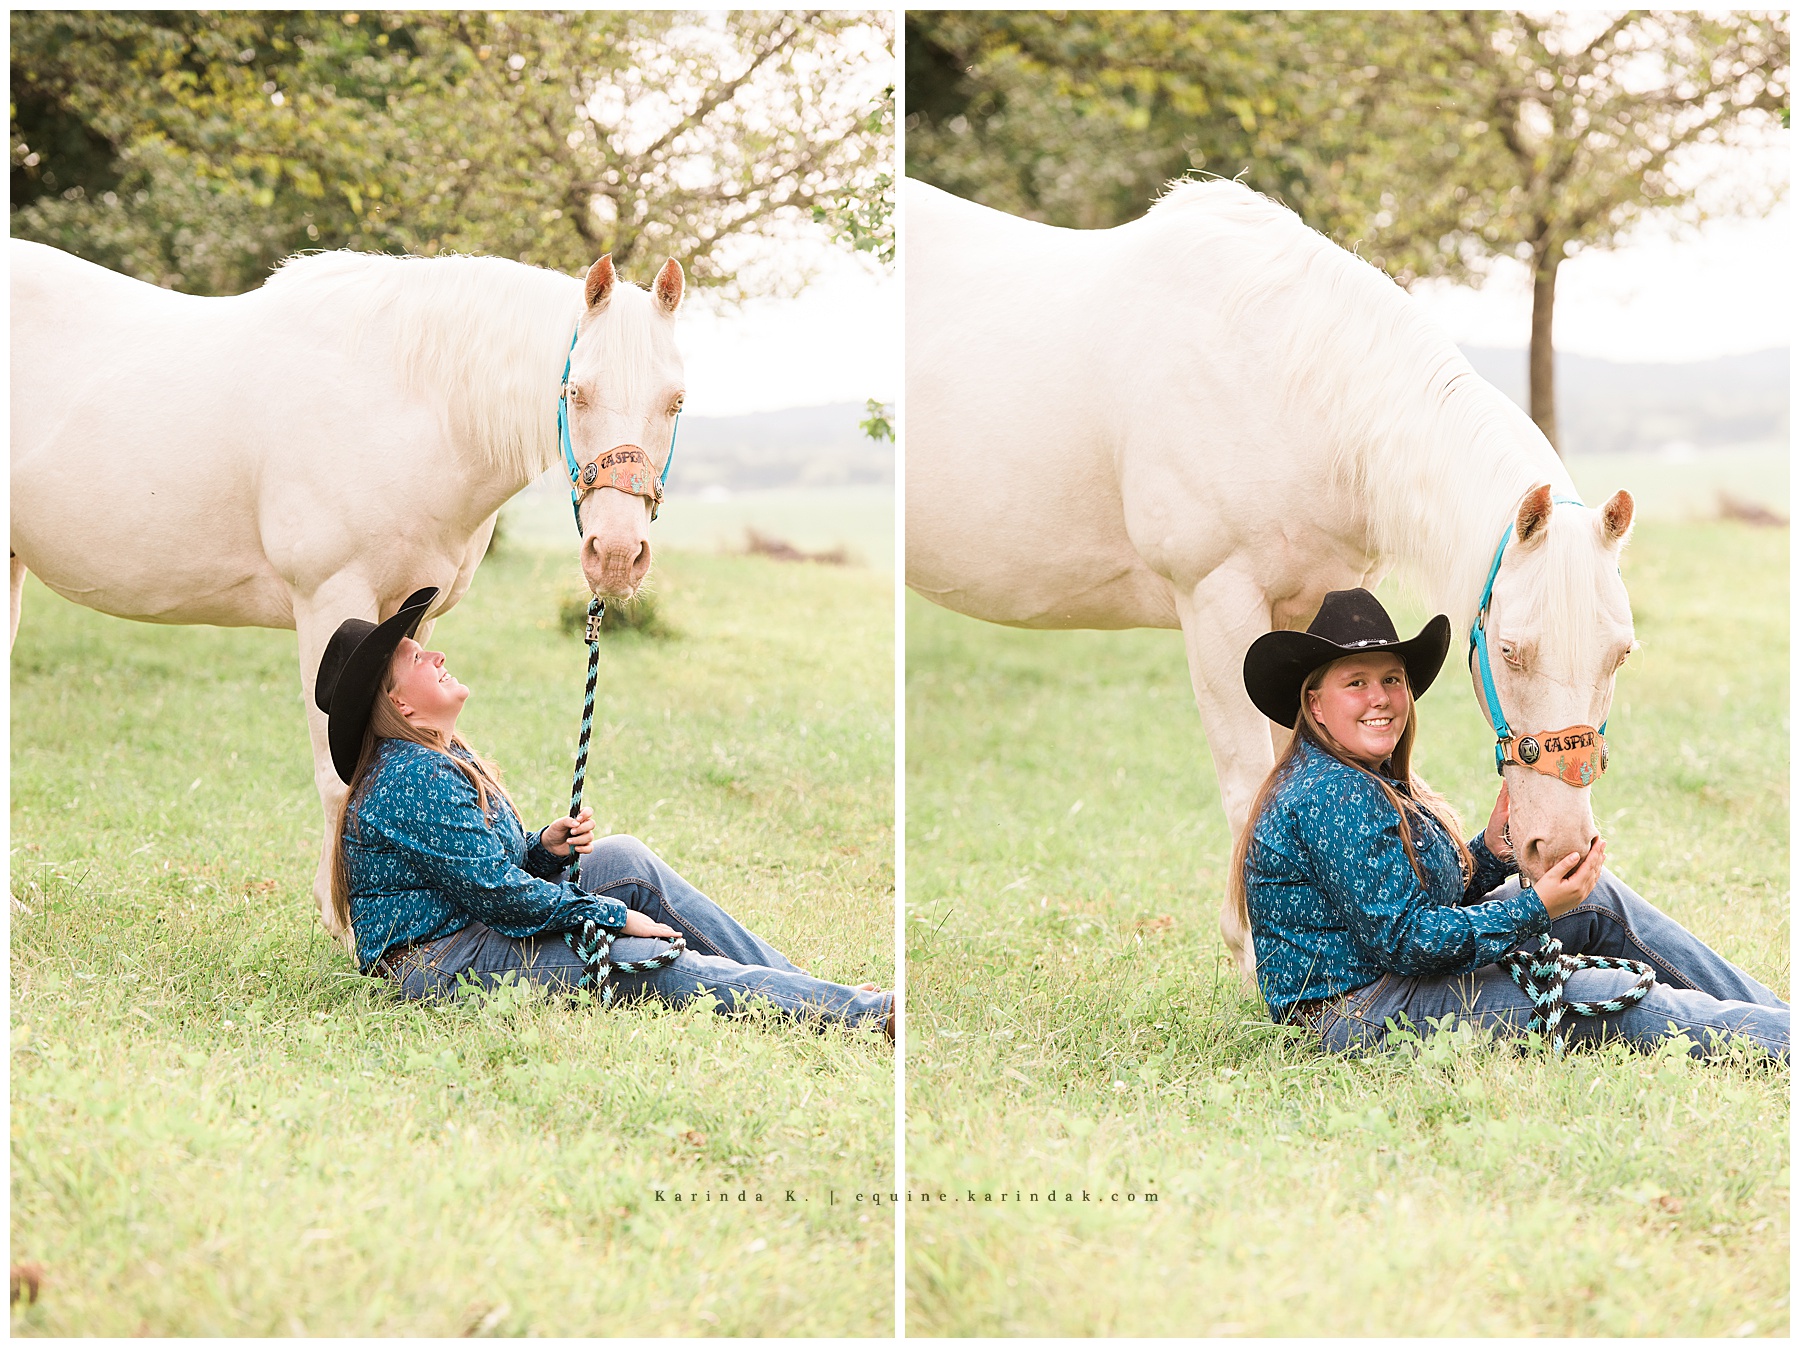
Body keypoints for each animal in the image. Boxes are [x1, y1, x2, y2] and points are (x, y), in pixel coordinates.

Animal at [11, 240, 687, 939]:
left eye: (676, 402)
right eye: (576, 392)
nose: (615, 555)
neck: (406, 408)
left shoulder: (415, 617)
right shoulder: (330, 603)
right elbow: (340, 774)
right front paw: (344, 925)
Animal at [905, 178, 1635, 982]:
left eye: (1620, 654)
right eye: (1509, 650)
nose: (1558, 849)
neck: (1289, 380)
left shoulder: (1309, 610)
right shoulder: (1217, 604)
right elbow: (1248, 783)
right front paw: (1256, 958)